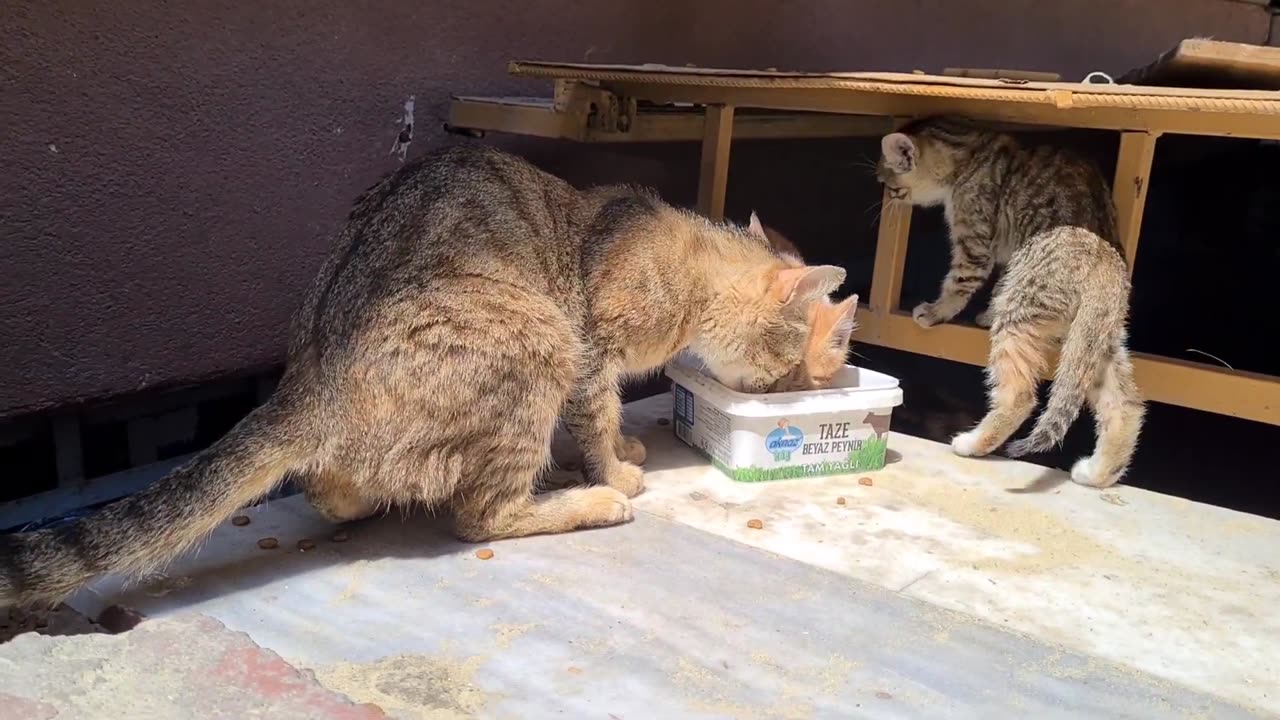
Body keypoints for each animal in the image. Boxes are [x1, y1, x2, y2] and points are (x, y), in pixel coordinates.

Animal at [2, 142, 849, 602]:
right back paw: (589, 500)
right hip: (536, 336)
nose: (786, 392)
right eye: (786, 366)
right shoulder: (590, 348)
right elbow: (599, 416)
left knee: (345, 489)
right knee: (480, 516)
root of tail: (310, 381)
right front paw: (615, 467)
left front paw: (620, 453)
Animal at [875, 117, 1146, 486]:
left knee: (1019, 395)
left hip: (1021, 314)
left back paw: (974, 442)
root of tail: (1105, 258)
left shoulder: (975, 240)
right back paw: (1098, 472)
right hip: (1096, 342)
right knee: (1125, 405)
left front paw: (936, 312)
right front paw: (984, 313)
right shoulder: (1007, 256)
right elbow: (997, 283)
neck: (971, 153)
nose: (888, 197)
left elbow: (962, 281)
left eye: (891, 186)